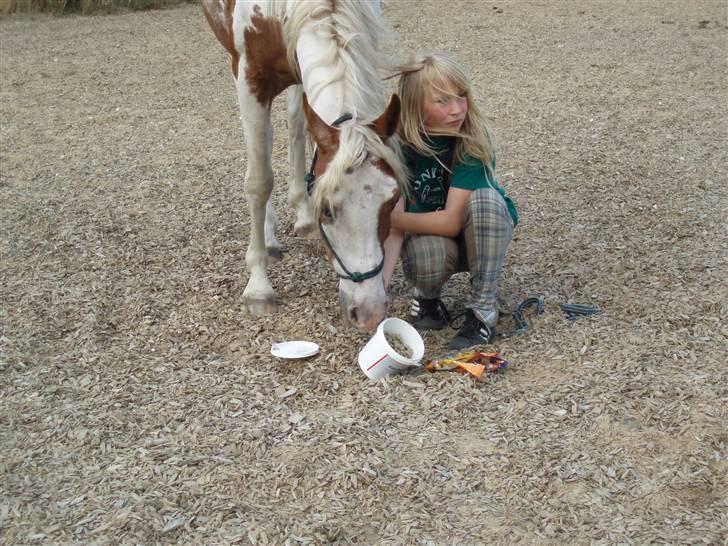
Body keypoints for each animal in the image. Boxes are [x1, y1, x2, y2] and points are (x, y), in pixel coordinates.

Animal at [202, 0, 406, 330]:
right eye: (327, 210)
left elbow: (299, 130)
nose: (369, 312)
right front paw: (258, 286)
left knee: (295, 126)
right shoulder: (249, 76)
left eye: (393, 199)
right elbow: (259, 180)